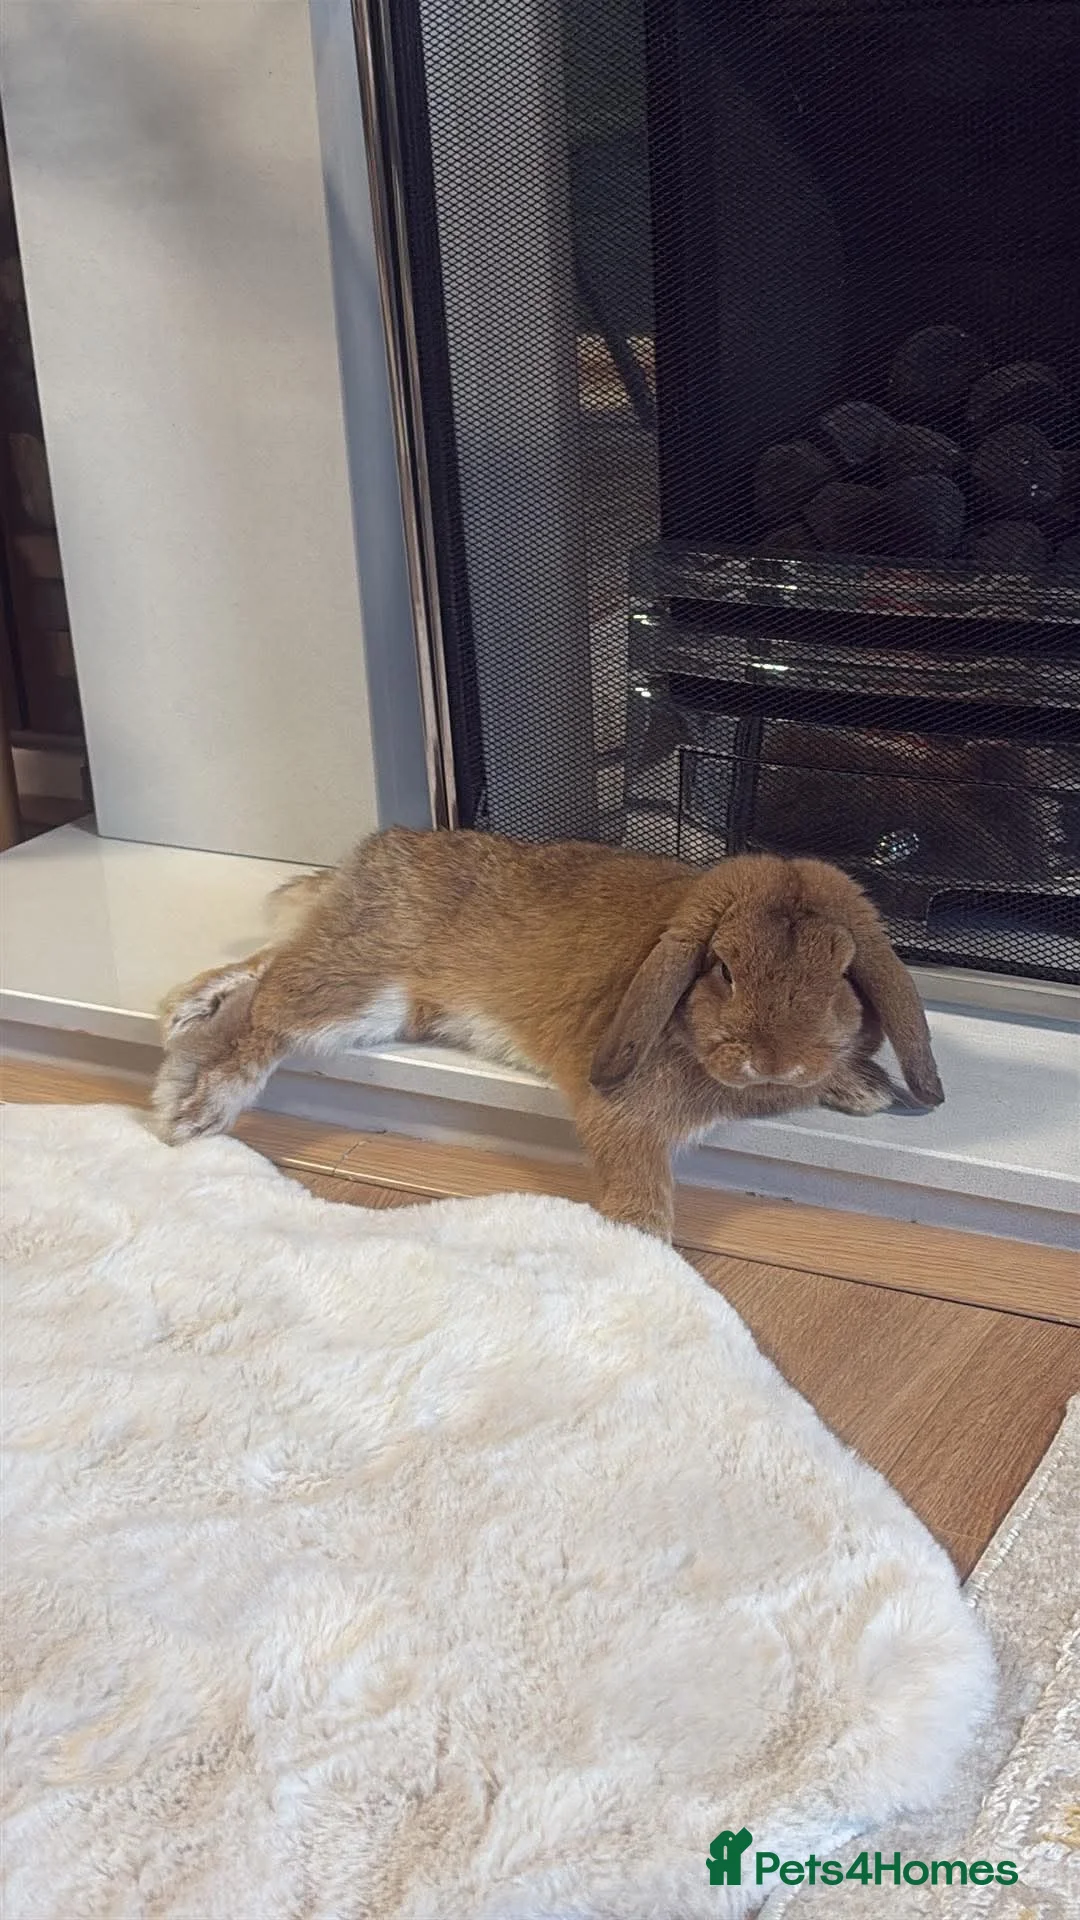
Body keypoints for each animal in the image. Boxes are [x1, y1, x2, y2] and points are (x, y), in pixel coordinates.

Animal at [152, 827, 943, 1239]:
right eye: (721, 967)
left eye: (841, 973)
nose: (774, 1061)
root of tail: (376, 851)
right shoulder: (625, 1116)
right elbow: (641, 1187)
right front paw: (640, 1245)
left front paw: (863, 1088)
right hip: (362, 991)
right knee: (268, 1013)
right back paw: (190, 1107)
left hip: (379, 996)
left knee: (272, 963)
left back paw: (185, 1011)